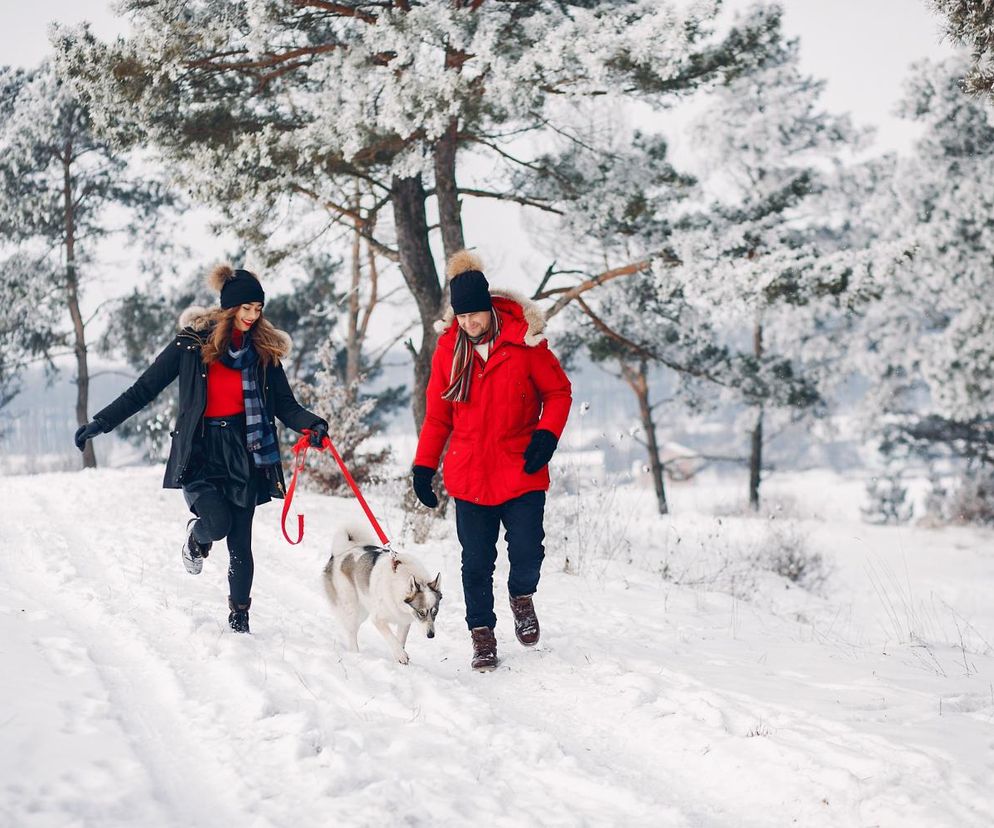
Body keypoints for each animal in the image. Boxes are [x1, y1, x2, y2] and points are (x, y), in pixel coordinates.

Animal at [322, 528, 442, 664]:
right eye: (421, 613)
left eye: (435, 612)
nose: (431, 635)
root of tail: (340, 553)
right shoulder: (378, 619)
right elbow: (391, 637)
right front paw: (401, 655)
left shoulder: (404, 621)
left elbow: (400, 640)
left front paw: (399, 657)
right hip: (353, 608)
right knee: (351, 632)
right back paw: (356, 654)